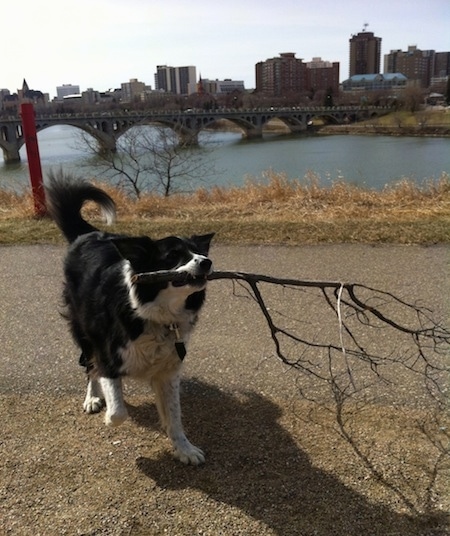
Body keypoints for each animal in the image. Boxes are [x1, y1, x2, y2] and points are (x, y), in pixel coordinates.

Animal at [45, 175, 214, 464]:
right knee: (88, 364)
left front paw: (185, 449)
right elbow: (117, 411)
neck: (154, 314)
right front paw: (109, 412)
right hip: (82, 329)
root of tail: (87, 235)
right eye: (173, 255)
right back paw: (92, 397)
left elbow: (175, 417)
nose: (206, 261)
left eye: (196, 251)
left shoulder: (169, 369)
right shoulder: (109, 355)